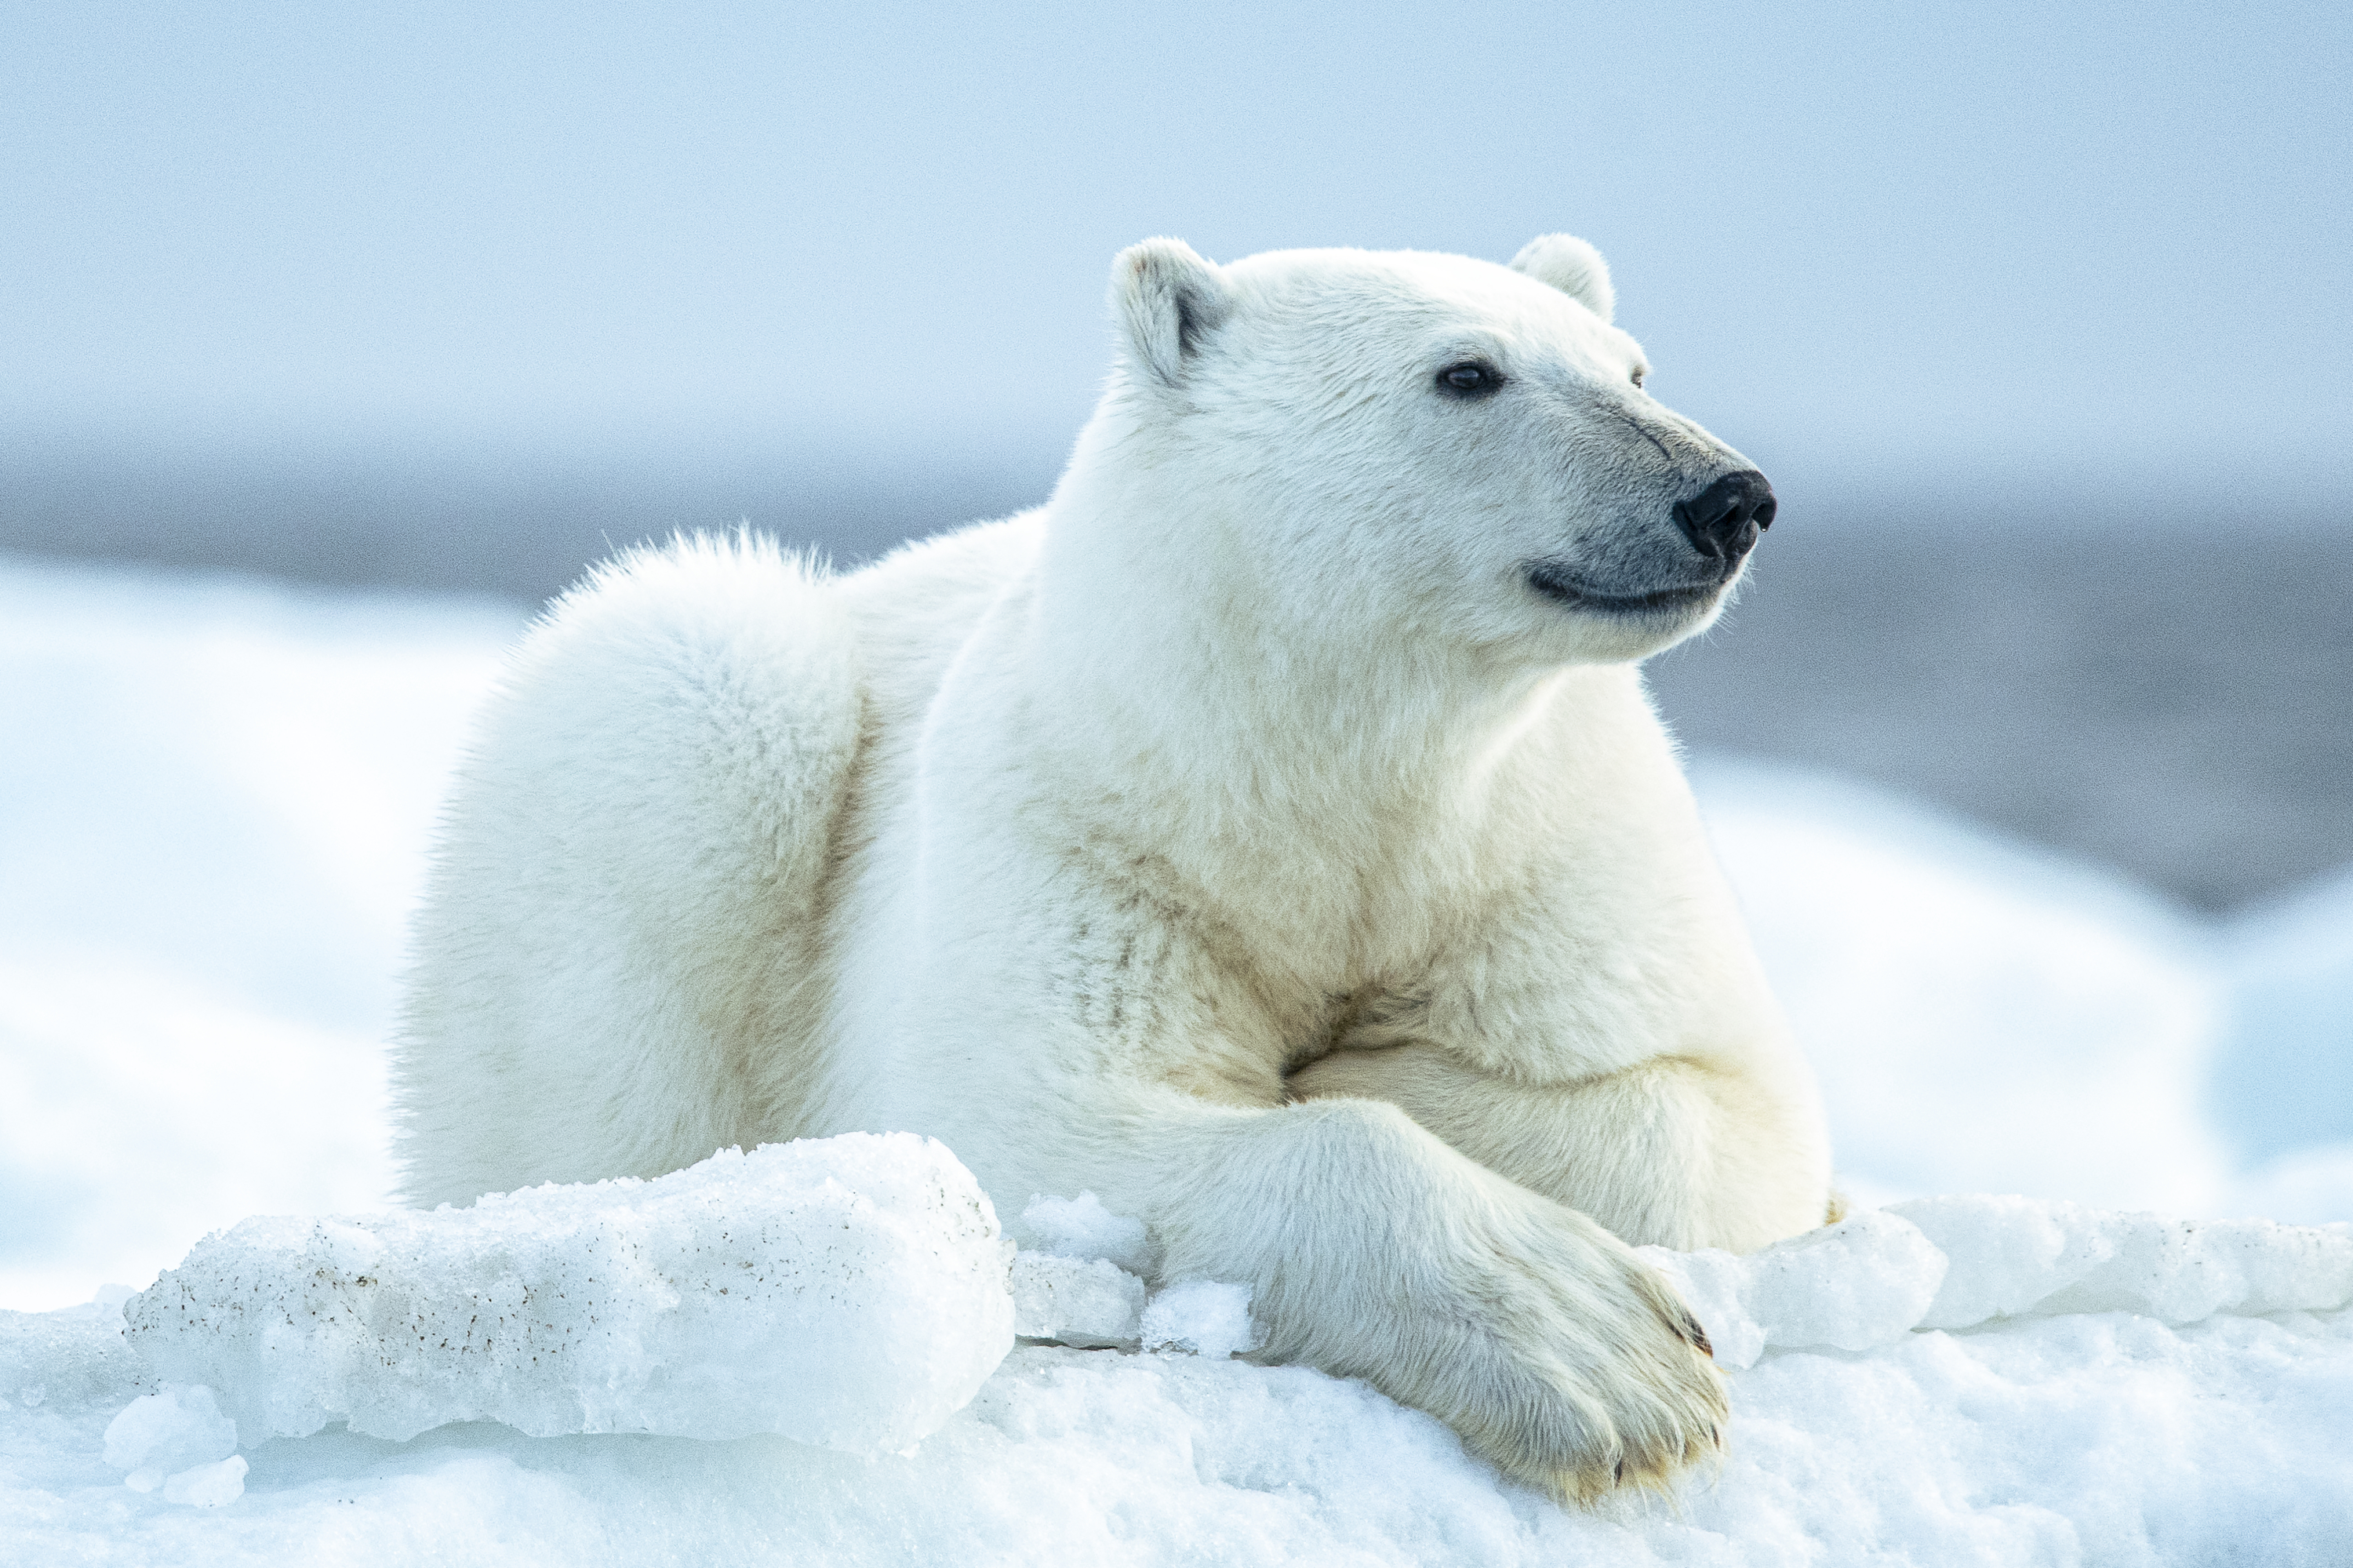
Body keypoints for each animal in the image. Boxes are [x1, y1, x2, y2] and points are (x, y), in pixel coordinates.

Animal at [392, 234, 1834, 1501]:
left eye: (1634, 366)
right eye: (1467, 371)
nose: (1728, 495)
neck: (1313, 782)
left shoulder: (1556, 844)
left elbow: (1721, 1111)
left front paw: (1369, 1054)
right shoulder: (1079, 821)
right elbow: (1025, 1122)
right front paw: (1611, 1360)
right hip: (686, 719)